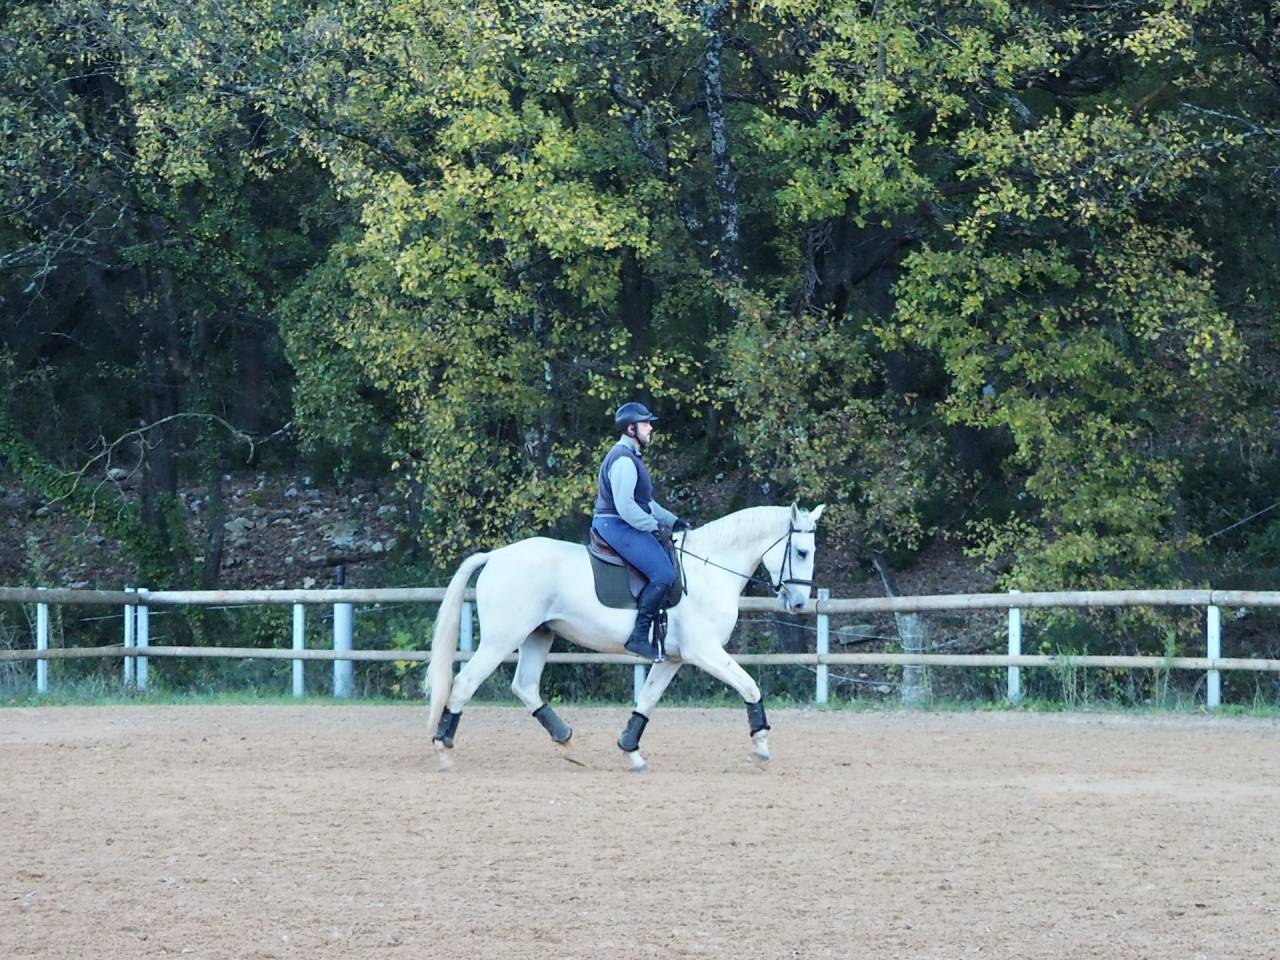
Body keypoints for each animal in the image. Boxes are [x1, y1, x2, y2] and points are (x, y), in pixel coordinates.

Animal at [426, 502, 824, 770]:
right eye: (801, 551)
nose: (799, 603)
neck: (708, 570)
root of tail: (495, 556)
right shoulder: (705, 652)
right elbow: (750, 686)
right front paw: (761, 745)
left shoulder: (674, 658)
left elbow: (646, 701)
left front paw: (630, 750)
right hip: (501, 640)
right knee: (463, 684)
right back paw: (443, 750)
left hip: (538, 636)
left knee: (524, 686)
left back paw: (565, 741)